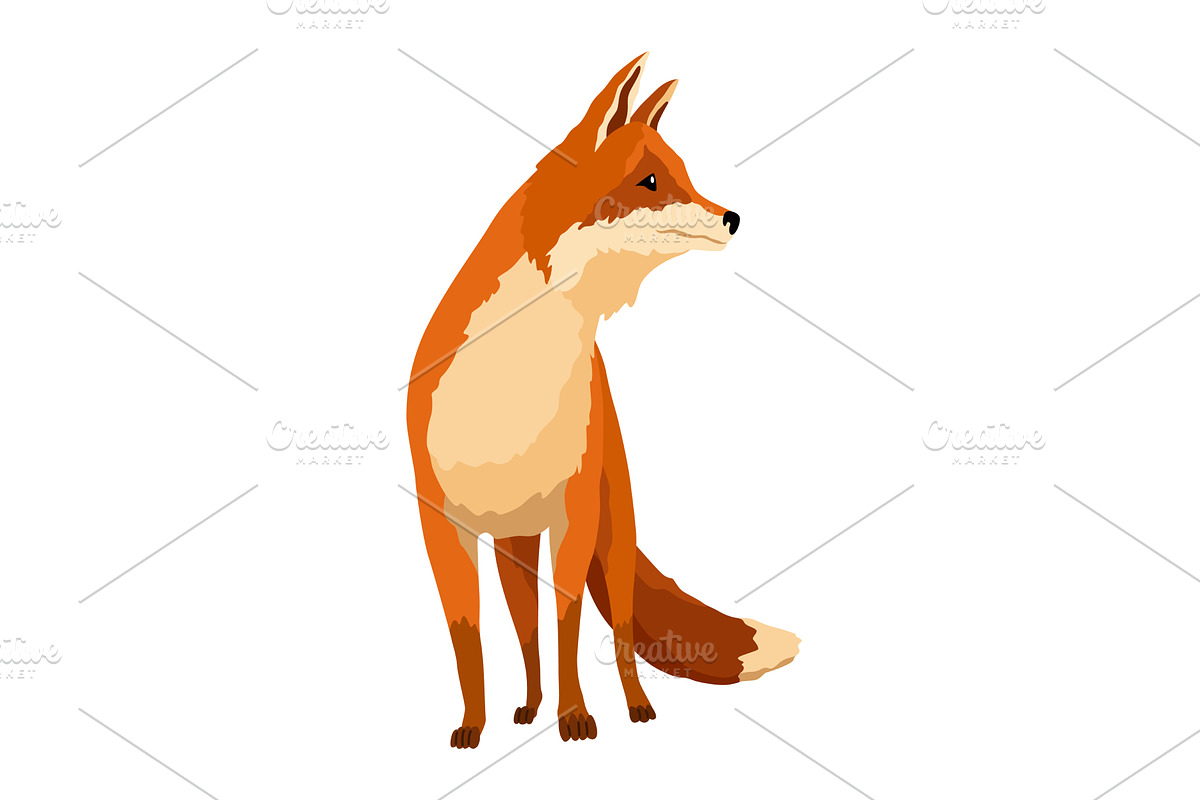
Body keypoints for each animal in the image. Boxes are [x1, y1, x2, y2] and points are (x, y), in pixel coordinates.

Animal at [406, 53, 800, 749]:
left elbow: (570, 629)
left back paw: (634, 708)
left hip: (609, 537)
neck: (512, 380)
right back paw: (527, 709)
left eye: (685, 175)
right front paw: (473, 726)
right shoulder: (441, 525)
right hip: (514, 549)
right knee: (526, 634)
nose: (732, 217)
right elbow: (469, 642)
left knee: (614, 635)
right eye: (650, 180)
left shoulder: (575, 514)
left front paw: (576, 718)